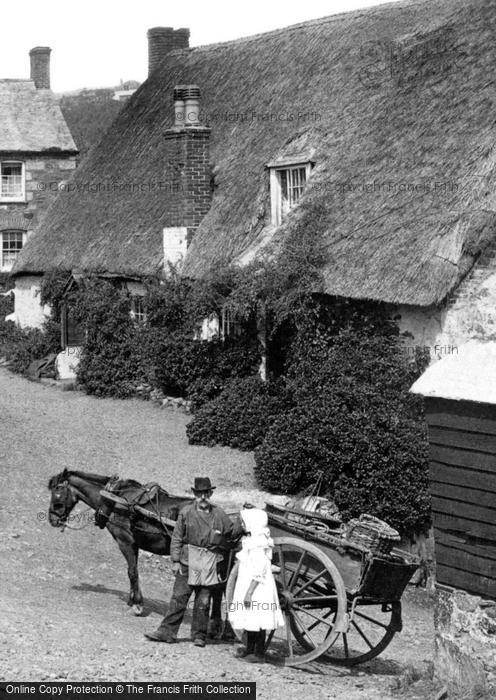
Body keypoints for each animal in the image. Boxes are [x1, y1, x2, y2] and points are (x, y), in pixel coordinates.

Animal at [47, 470, 228, 628]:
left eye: (57, 491)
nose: (52, 519)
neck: (114, 500)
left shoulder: (125, 541)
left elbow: (132, 572)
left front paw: (138, 605)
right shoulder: (133, 544)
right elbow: (131, 571)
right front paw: (132, 599)